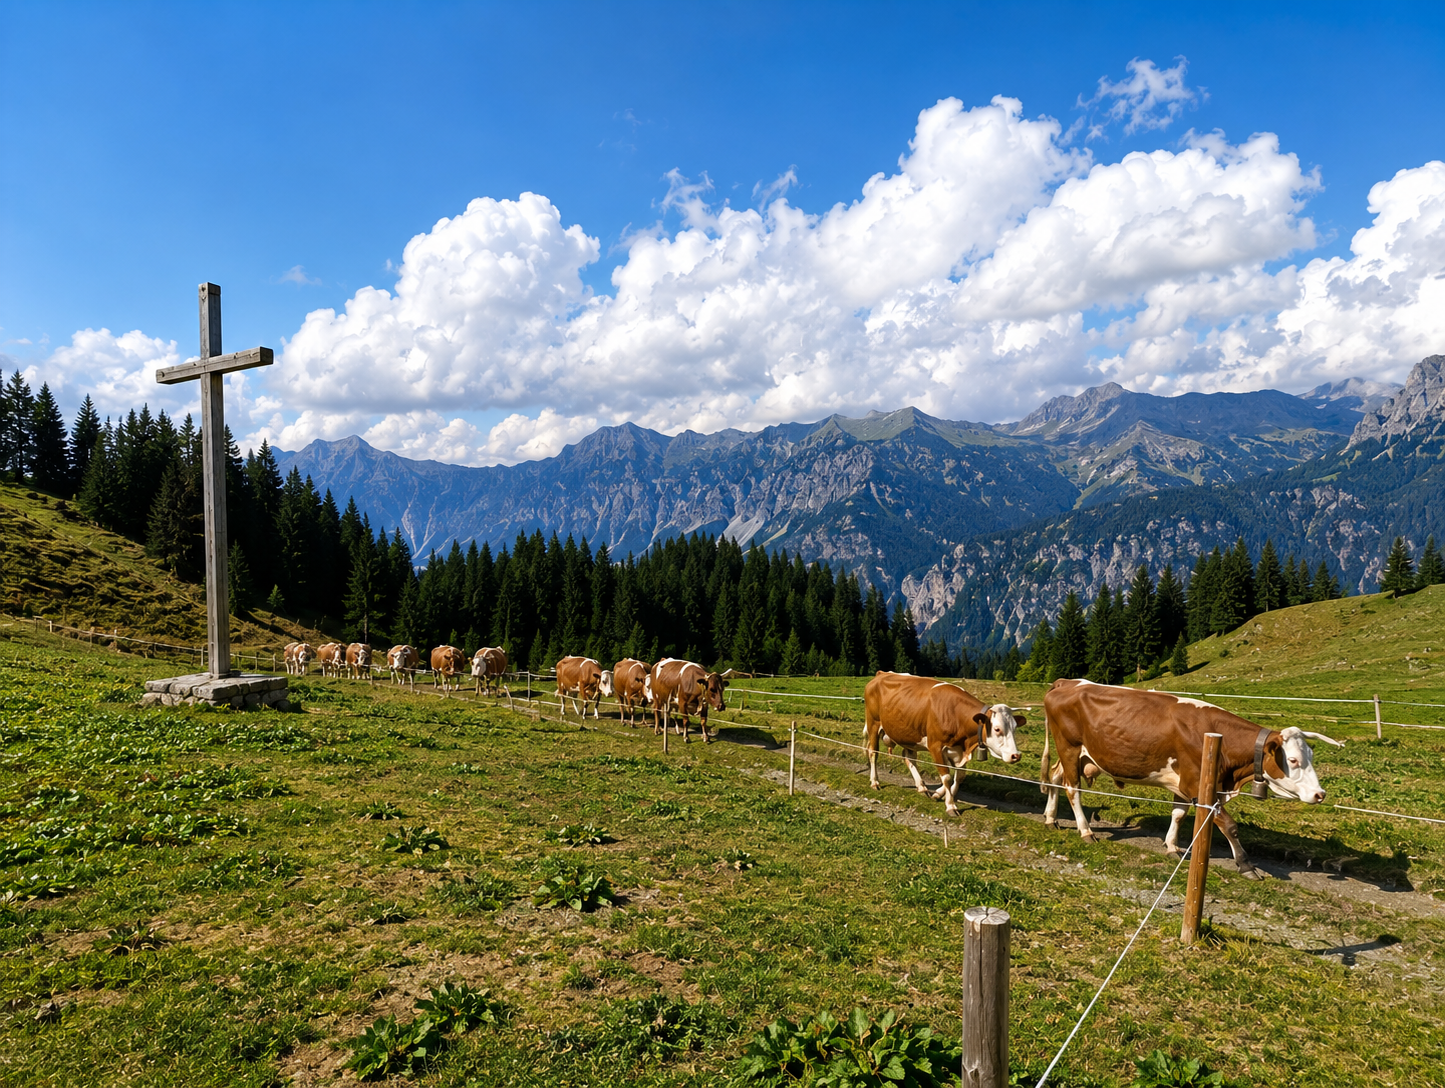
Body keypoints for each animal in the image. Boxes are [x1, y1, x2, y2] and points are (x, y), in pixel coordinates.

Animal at [863, 671, 1024, 816]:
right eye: (997, 729)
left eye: (1015, 728)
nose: (1016, 755)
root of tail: (881, 673)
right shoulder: (936, 746)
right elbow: (946, 776)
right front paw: (950, 805)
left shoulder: (958, 749)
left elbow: (959, 776)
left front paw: (940, 794)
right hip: (873, 723)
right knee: (873, 752)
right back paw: (875, 782)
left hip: (908, 734)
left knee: (908, 757)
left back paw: (922, 787)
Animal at [1040, 679, 1342, 877]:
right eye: (1293, 760)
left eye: (1311, 755)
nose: (1320, 794)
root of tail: (1067, 682)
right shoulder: (1200, 785)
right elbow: (1229, 825)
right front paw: (1246, 865)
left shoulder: (1184, 783)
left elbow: (1178, 814)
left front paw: (1172, 846)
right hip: (1070, 747)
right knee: (1072, 789)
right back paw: (1085, 831)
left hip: (1076, 755)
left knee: (1055, 777)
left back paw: (1051, 818)